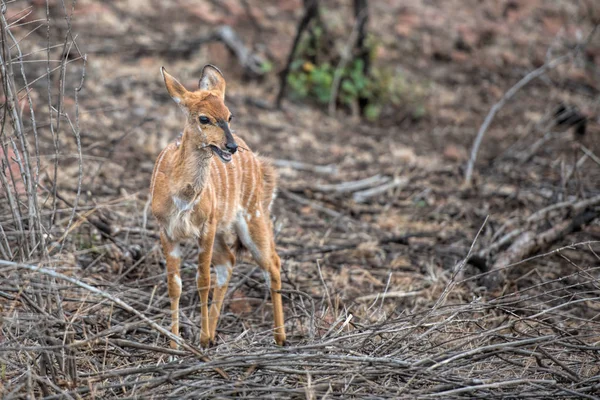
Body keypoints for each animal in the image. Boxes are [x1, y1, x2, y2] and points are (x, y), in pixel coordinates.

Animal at [150, 65, 286, 346]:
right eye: (204, 118)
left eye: (229, 115)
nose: (230, 147)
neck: (182, 195)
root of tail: (260, 164)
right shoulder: (167, 231)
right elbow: (175, 285)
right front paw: (175, 342)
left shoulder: (206, 228)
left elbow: (202, 280)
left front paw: (200, 341)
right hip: (225, 229)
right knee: (229, 262)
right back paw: (214, 334)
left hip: (252, 215)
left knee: (273, 263)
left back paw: (280, 338)